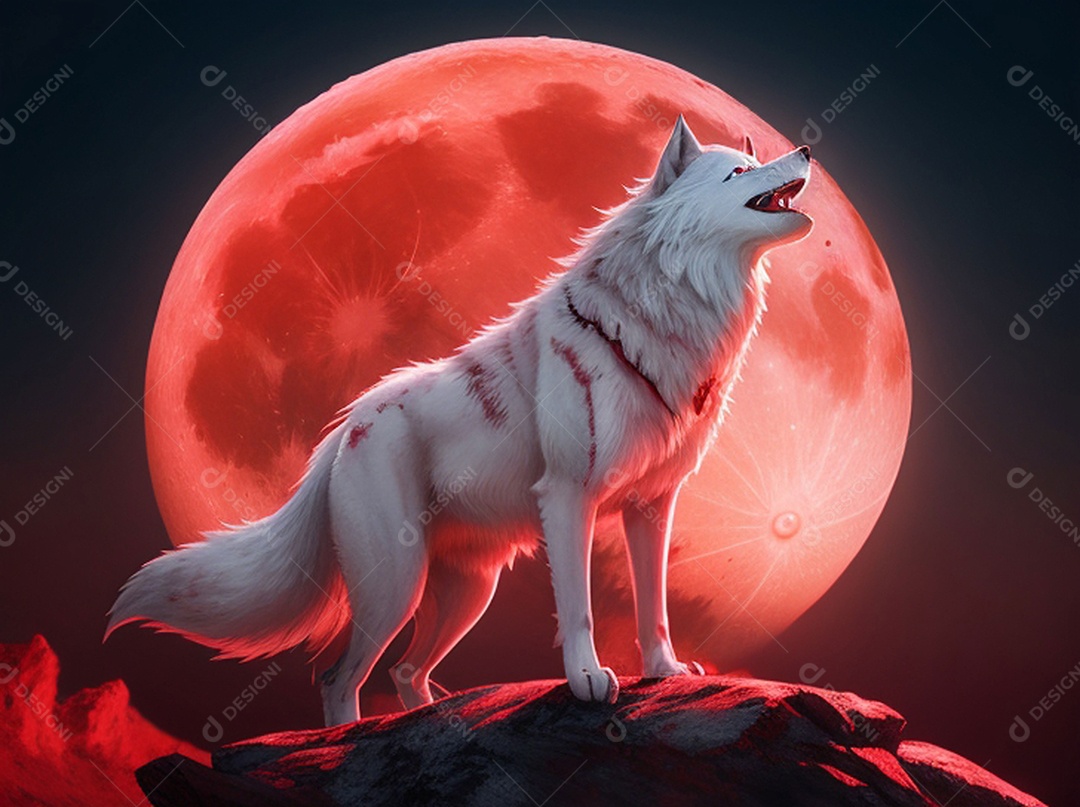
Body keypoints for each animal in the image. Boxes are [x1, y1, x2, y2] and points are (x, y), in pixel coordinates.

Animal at [107, 117, 813, 726]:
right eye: (739, 170)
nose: (806, 150)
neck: (660, 315)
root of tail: (342, 429)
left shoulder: (652, 505)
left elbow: (655, 607)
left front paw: (665, 670)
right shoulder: (569, 497)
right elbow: (580, 610)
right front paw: (588, 681)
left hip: (468, 595)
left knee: (405, 672)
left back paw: (432, 718)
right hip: (395, 585)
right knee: (339, 677)